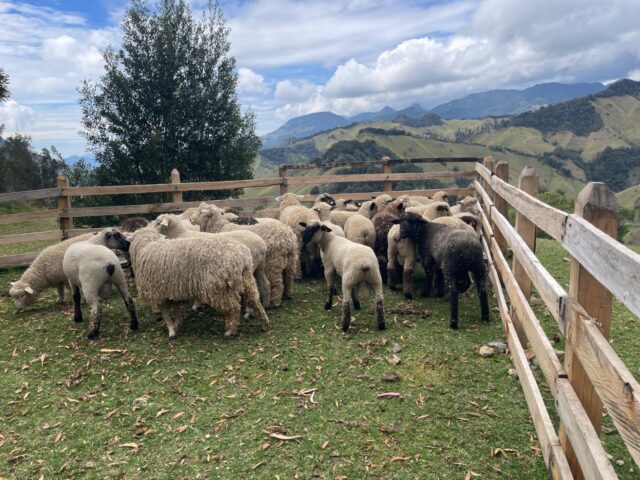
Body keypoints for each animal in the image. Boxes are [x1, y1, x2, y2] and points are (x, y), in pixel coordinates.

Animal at [129, 226, 269, 338]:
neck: (146, 246)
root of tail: (241, 256)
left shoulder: (157, 291)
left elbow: (165, 313)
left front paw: (171, 330)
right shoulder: (174, 290)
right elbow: (177, 309)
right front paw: (177, 325)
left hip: (218, 288)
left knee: (235, 307)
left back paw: (230, 331)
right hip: (246, 278)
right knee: (254, 300)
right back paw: (264, 323)